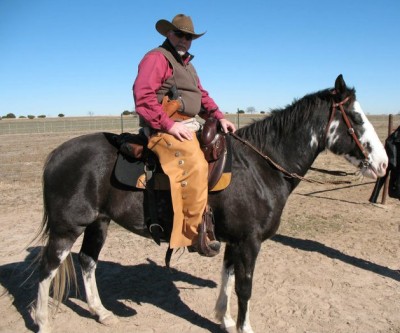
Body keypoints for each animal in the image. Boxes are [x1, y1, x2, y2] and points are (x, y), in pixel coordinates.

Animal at [32, 74, 390, 330]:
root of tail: (55, 155)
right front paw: (243, 327)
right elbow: (244, 287)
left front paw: (225, 319)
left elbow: (227, 278)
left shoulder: (234, 241)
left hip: (98, 223)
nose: (384, 163)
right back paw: (42, 321)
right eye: (356, 118)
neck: (260, 166)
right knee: (47, 268)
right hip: (67, 228)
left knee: (87, 262)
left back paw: (101, 312)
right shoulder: (249, 242)